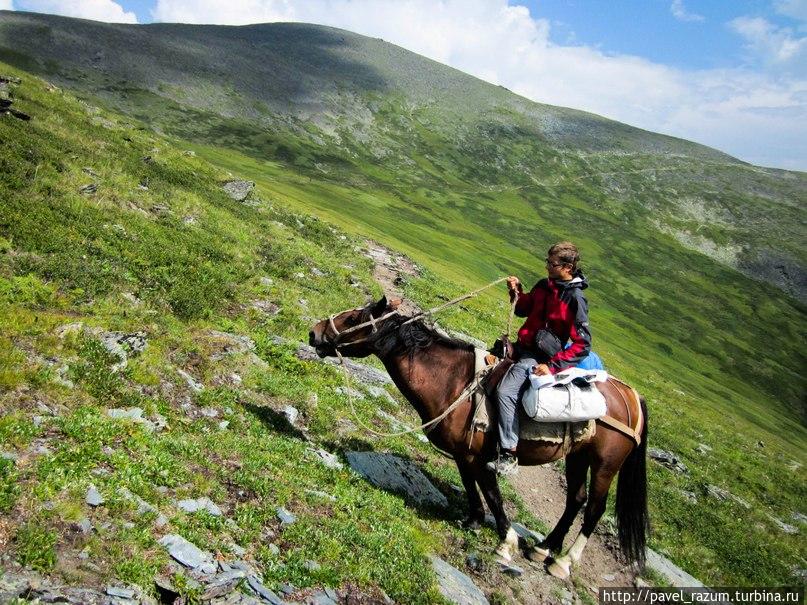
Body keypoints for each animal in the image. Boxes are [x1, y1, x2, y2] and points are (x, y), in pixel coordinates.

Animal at [310, 294, 652, 580]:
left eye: (355, 318)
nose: (314, 333)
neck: (454, 382)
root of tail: (632, 397)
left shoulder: (483, 457)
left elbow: (492, 494)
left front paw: (506, 543)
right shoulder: (464, 455)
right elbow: (471, 487)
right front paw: (472, 521)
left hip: (605, 462)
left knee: (594, 508)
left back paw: (563, 562)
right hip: (578, 455)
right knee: (576, 499)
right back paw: (542, 548)